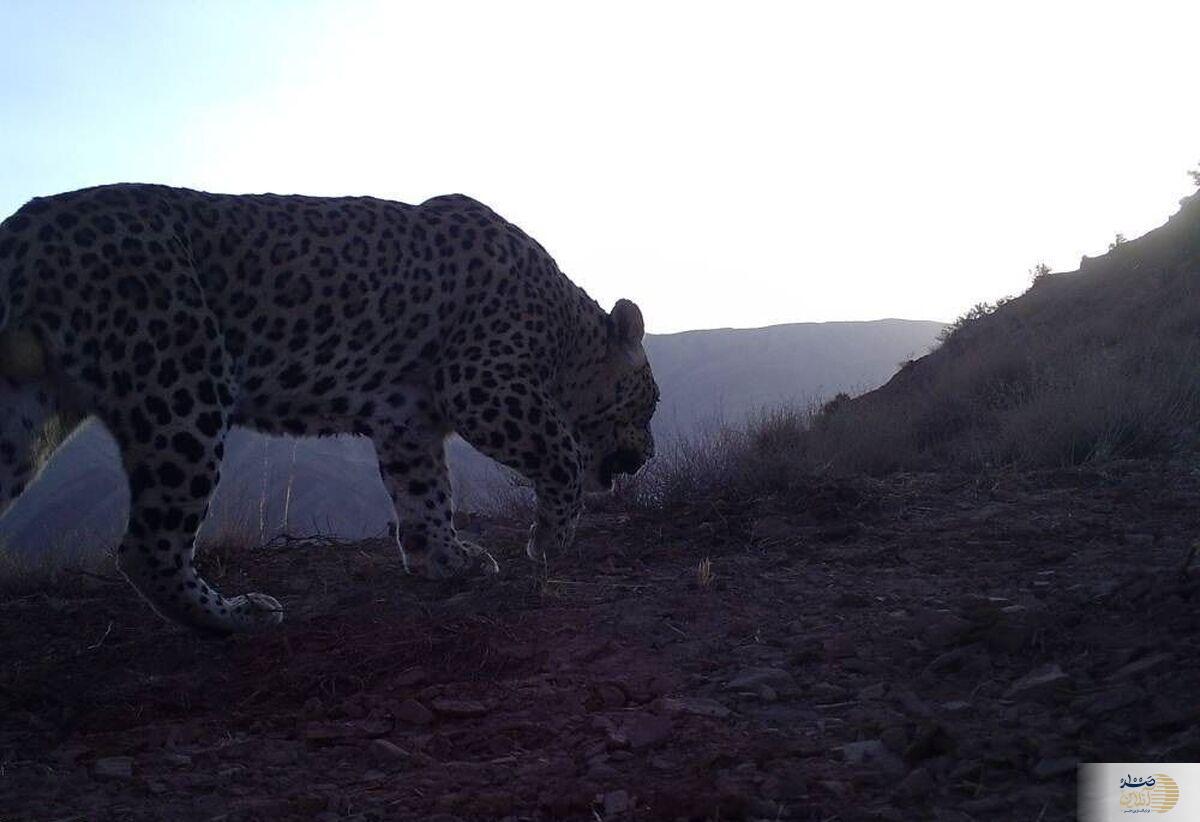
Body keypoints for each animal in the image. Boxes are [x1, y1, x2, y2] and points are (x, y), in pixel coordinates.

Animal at [0, 184, 657, 633]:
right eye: (650, 405)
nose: (650, 454)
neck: (564, 328)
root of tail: (29, 223)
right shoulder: (482, 384)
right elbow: (564, 453)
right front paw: (548, 541)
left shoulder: (408, 417)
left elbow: (425, 495)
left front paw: (446, 560)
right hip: (181, 389)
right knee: (147, 547)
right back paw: (236, 616)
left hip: (28, 411)